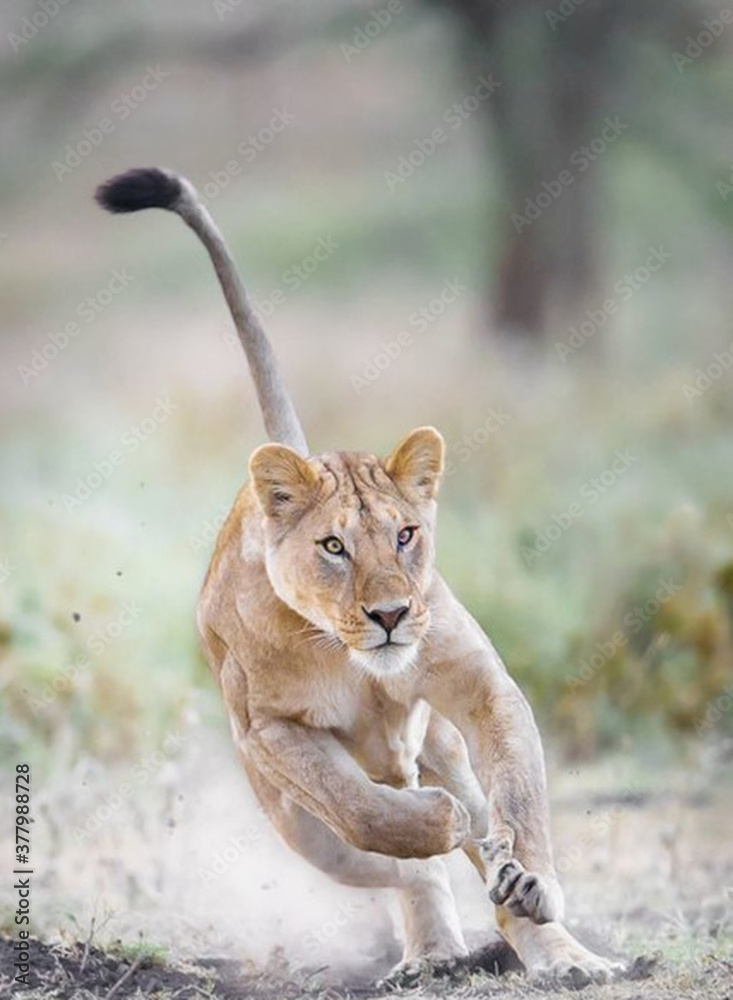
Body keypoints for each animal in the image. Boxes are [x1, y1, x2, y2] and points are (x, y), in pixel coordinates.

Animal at [96, 167, 622, 986]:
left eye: (405, 535)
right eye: (334, 546)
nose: (391, 616)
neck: (349, 653)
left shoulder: (480, 685)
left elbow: (520, 793)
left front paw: (531, 879)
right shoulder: (271, 732)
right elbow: (361, 809)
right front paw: (437, 825)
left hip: (440, 745)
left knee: (475, 824)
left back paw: (557, 953)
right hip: (293, 823)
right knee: (390, 858)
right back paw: (433, 944)